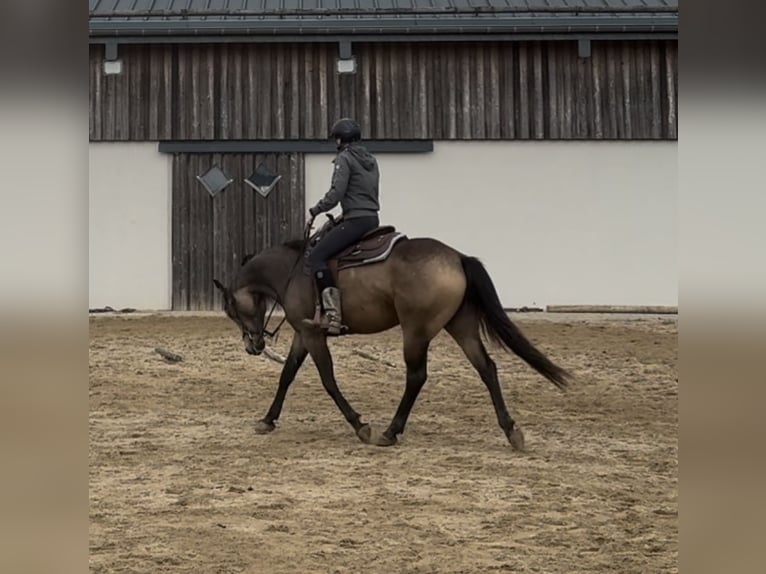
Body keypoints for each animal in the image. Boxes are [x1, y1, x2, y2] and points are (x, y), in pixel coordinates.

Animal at [213, 218, 572, 452]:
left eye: (231, 310)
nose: (253, 346)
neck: (291, 270)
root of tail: (457, 257)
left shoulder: (314, 336)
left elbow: (328, 380)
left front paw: (360, 426)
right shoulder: (303, 334)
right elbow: (286, 375)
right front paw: (268, 420)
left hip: (415, 332)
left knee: (416, 376)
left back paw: (390, 431)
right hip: (461, 326)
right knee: (487, 368)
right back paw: (511, 431)